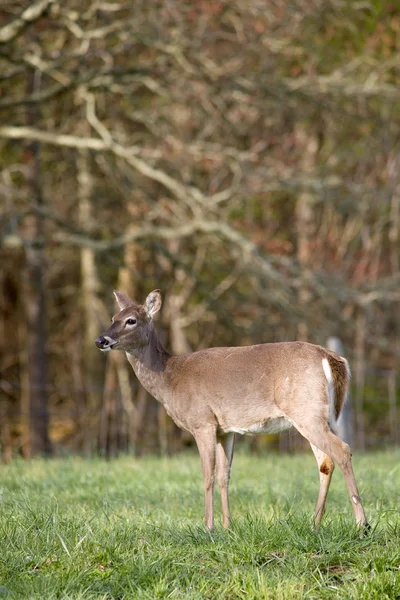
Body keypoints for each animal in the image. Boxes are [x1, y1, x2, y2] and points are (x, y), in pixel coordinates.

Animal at [96, 290, 368, 528]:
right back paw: (315, 523)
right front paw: (228, 526)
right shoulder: (225, 429)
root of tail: (330, 357)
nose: (101, 340)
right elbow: (224, 476)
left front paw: (208, 527)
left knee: (342, 451)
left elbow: (207, 475)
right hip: (319, 414)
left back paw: (361, 524)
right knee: (325, 461)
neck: (170, 379)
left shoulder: (202, 421)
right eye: (112, 318)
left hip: (306, 410)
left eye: (131, 320)